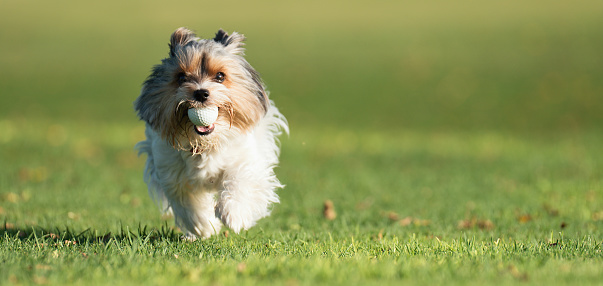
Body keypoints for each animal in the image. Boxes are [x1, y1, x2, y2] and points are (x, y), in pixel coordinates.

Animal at [135, 27, 290, 241]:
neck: (205, 143)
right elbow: (190, 205)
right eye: (181, 77)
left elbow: (240, 181)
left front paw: (234, 215)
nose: (201, 93)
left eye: (220, 76)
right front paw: (205, 228)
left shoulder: (245, 160)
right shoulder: (172, 174)